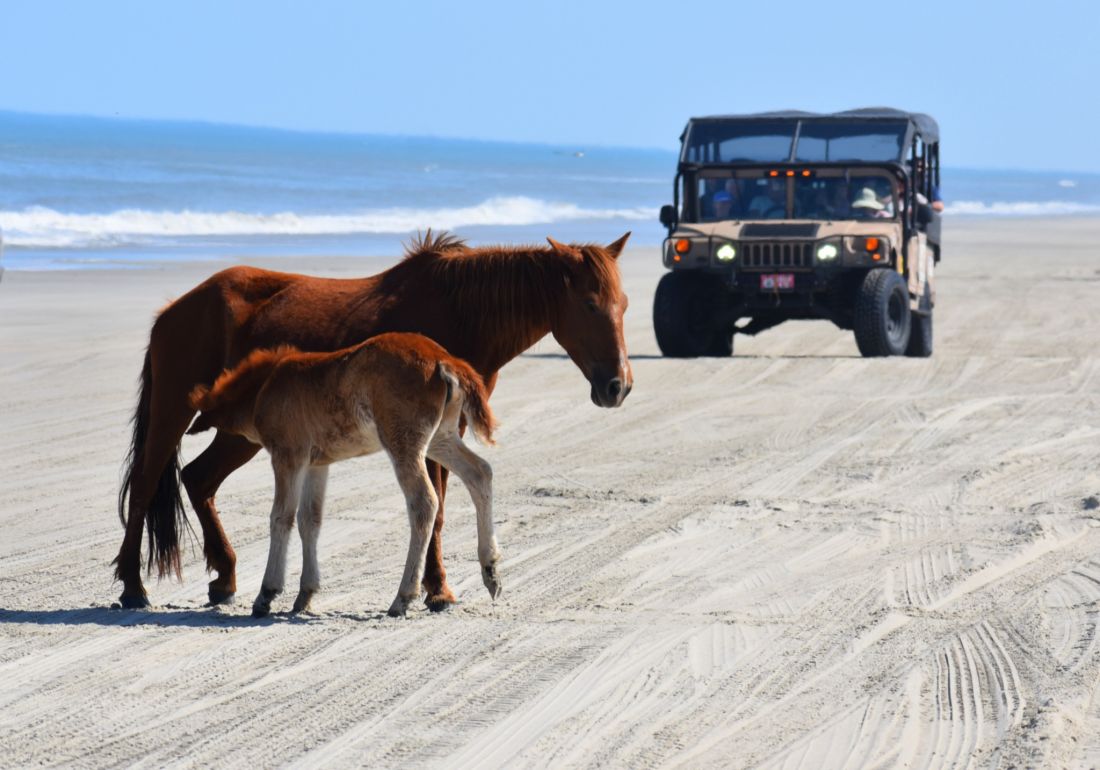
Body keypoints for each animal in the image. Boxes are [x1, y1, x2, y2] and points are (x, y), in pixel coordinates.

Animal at [186, 333, 500, 618]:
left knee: (424, 501)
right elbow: (310, 519)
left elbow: (281, 517)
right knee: (480, 472)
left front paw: (267, 595)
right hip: (441, 439)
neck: (265, 386)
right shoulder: (317, 464)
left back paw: (403, 598)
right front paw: (304, 595)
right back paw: (491, 570)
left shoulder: (288, 457)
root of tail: (443, 359)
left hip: (404, 444)